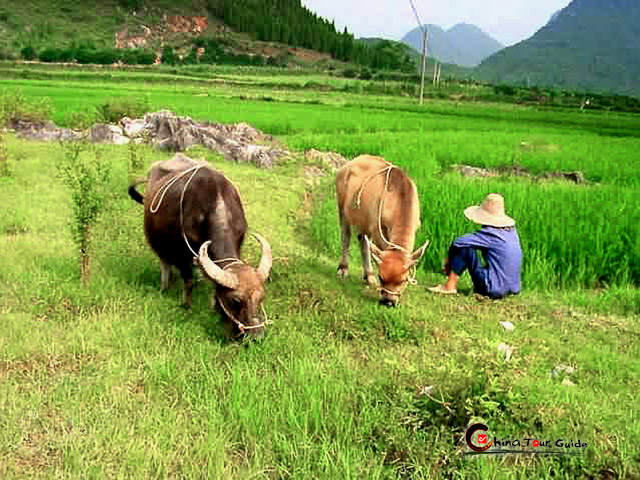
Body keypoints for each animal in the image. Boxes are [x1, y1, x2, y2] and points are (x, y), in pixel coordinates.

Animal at [129, 154, 272, 338]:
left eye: (261, 297)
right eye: (235, 300)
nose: (256, 336)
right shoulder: (181, 255)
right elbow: (189, 281)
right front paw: (186, 305)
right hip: (156, 241)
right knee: (164, 263)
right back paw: (165, 285)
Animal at [336, 157, 430, 308]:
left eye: (403, 280)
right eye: (381, 277)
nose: (388, 301)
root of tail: (348, 165)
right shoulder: (377, 230)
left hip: (364, 222)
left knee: (363, 243)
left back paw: (368, 275)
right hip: (342, 209)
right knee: (346, 237)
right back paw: (343, 268)